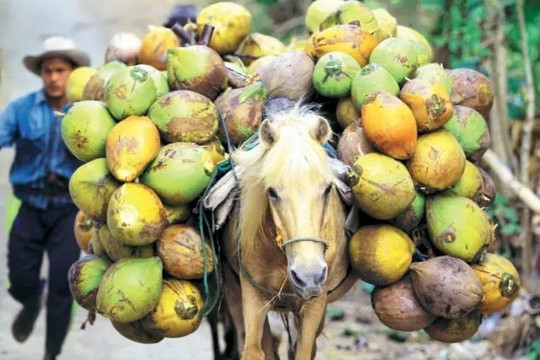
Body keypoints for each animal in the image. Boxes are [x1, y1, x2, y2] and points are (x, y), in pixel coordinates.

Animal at [219, 105, 358, 360]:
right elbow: (254, 350)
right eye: (272, 192)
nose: (308, 276)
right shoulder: (252, 295)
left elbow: (302, 351)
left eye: (327, 189)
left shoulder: (315, 303)